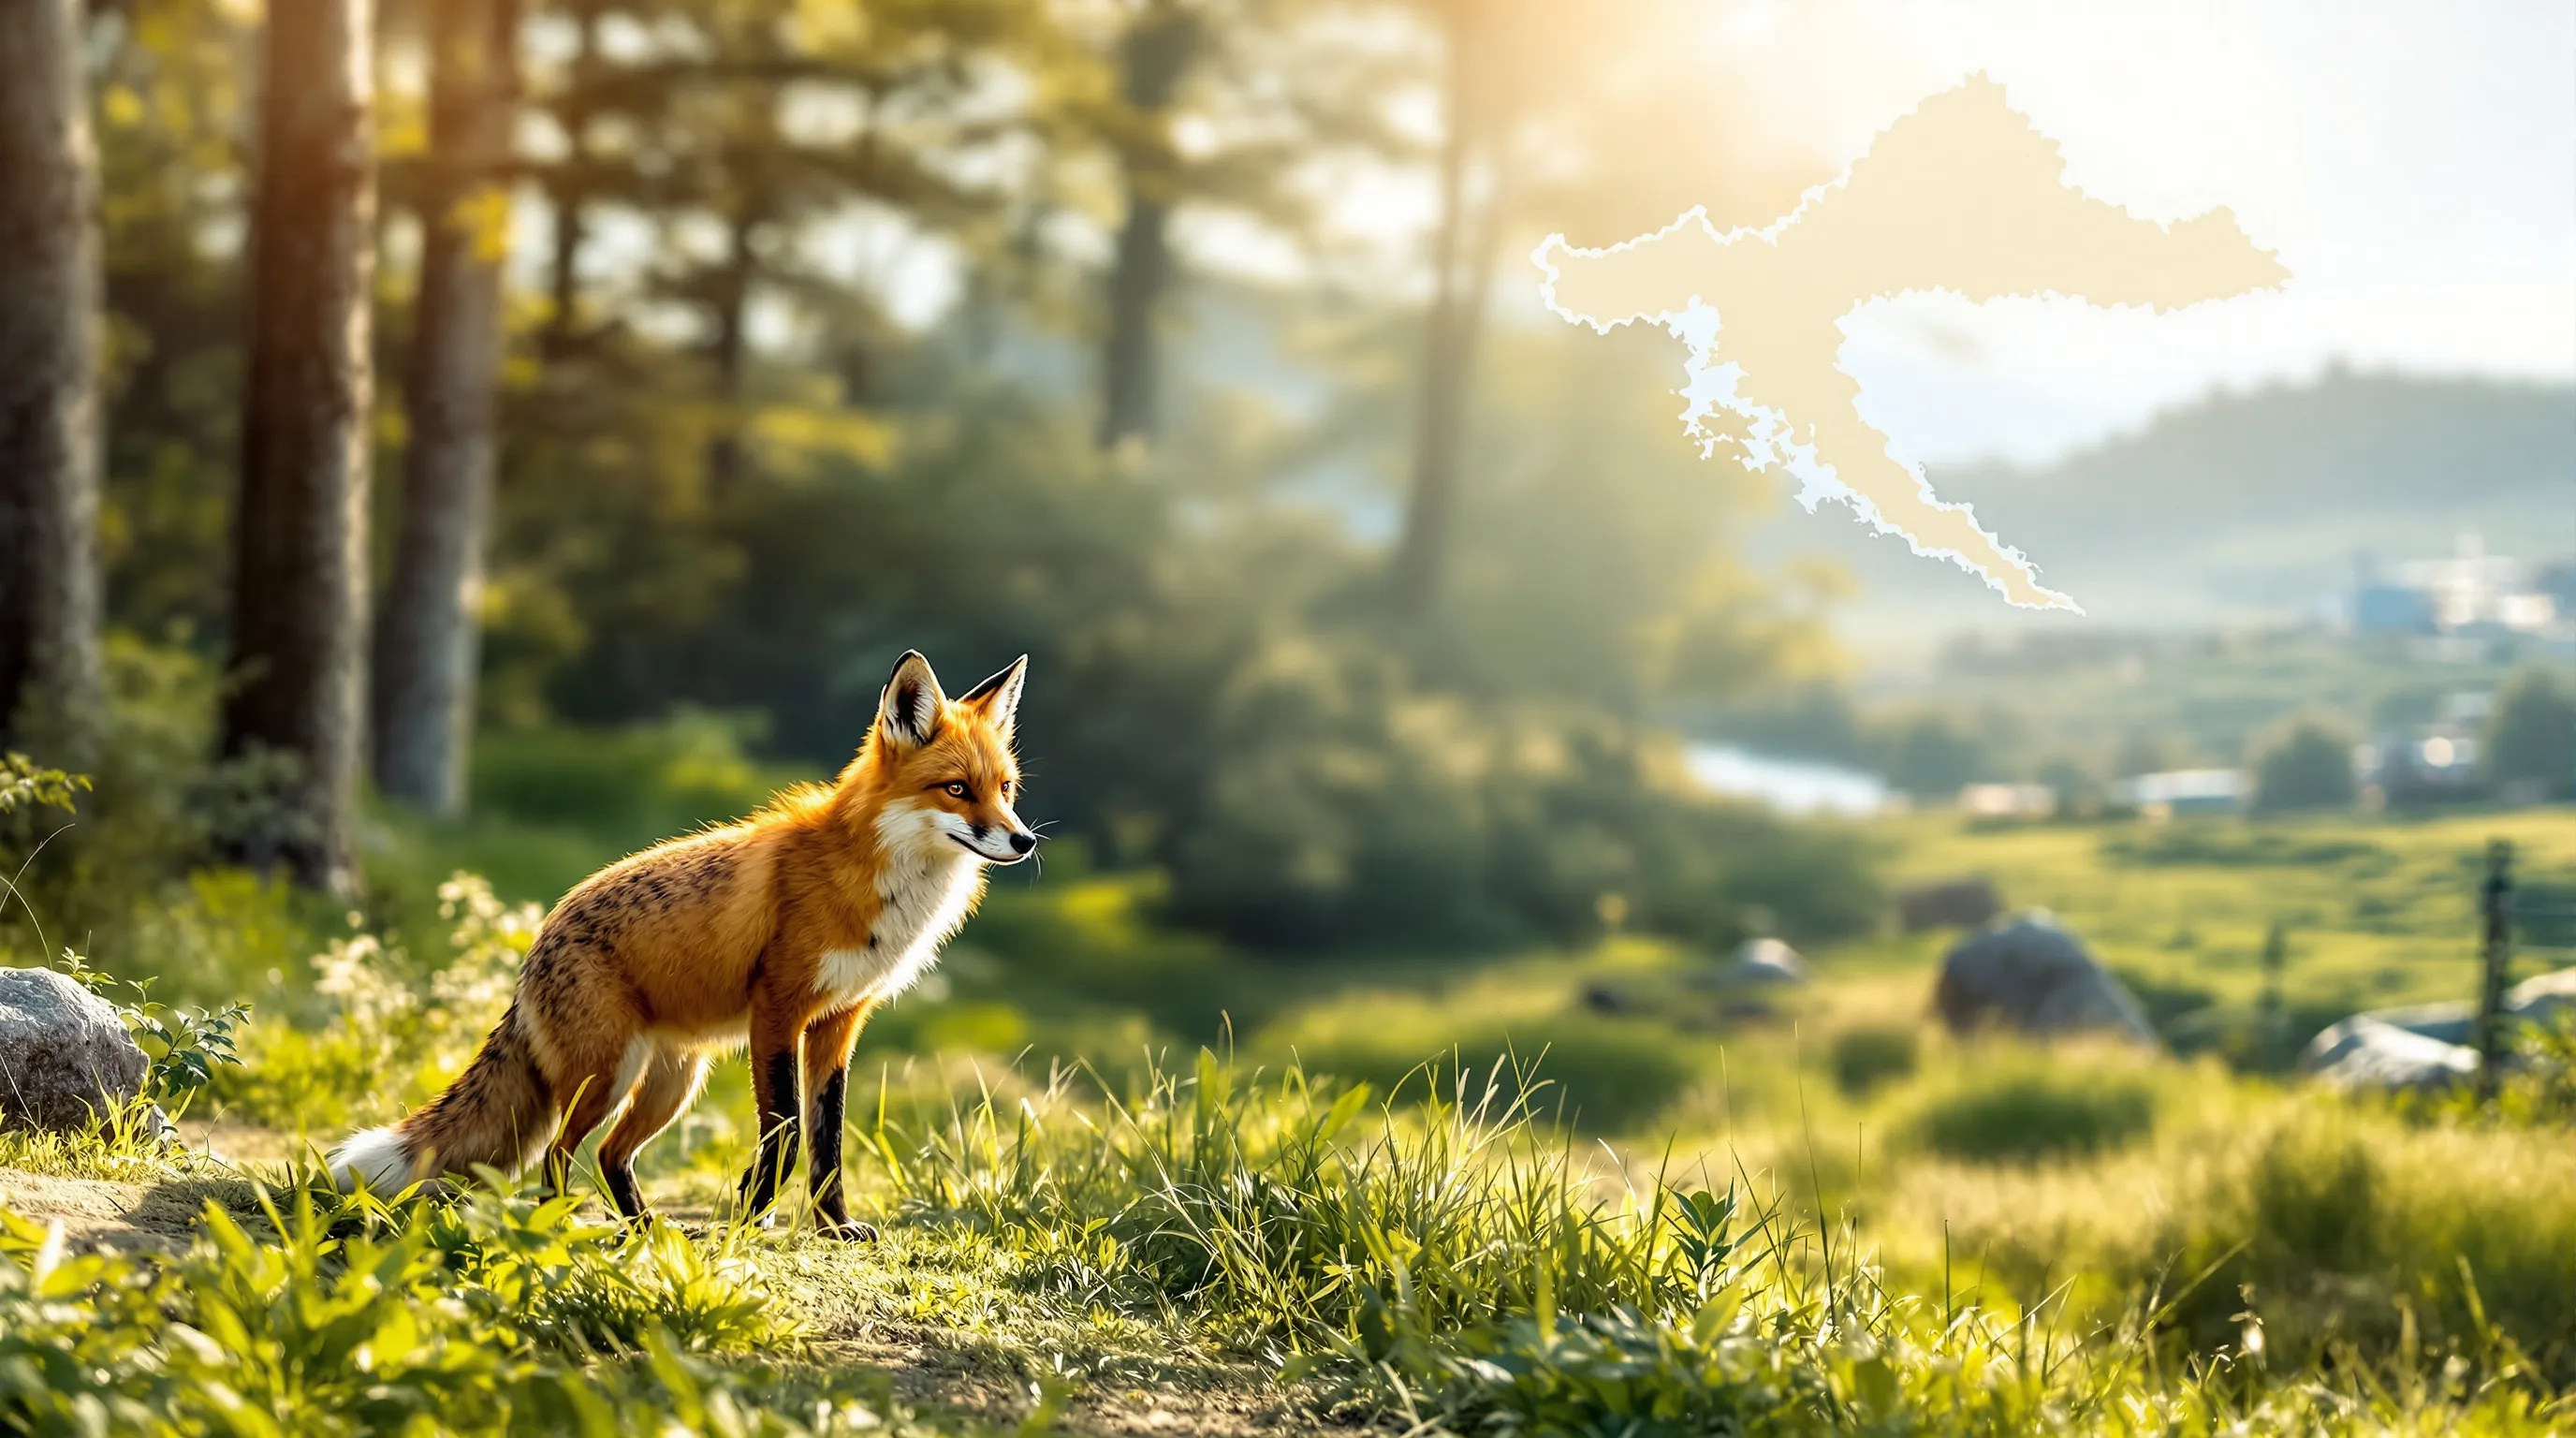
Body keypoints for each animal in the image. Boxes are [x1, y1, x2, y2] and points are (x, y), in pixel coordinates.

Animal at [329, 650, 1037, 1235]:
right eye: (956, 789)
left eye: (1004, 789)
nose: (1024, 840)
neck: (877, 882)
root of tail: (537, 944)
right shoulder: (777, 1010)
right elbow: (784, 1131)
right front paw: (749, 1222)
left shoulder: (839, 1021)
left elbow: (827, 1140)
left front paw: (832, 1226)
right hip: (609, 1076)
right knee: (558, 1153)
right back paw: (561, 1230)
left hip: (672, 1082)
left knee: (611, 1154)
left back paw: (645, 1227)